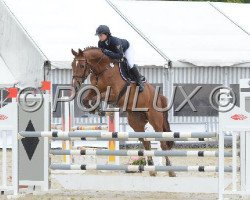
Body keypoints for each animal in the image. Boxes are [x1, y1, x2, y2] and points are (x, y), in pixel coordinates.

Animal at [71, 47, 175, 177]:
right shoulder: (95, 89)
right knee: (146, 143)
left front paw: (98, 109)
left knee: (163, 143)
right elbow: (87, 99)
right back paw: (152, 169)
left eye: (81, 65)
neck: (102, 69)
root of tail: (159, 96)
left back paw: (170, 170)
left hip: (155, 120)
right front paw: (95, 109)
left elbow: (98, 97)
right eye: (72, 65)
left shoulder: (114, 94)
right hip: (136, 122)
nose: (75, 85)